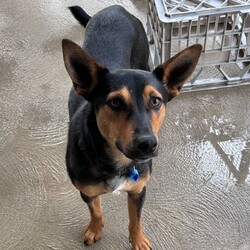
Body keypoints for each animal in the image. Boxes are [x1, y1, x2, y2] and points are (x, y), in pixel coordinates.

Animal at [62, 4, 201, 250]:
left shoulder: (139, 191)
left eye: (155, 101)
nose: (148, 144)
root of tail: (114, 7)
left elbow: (135, 219)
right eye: (115, 102)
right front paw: (95, 229)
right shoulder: (86, 192)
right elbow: (96, 211)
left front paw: (137, 240)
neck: (116, 161)